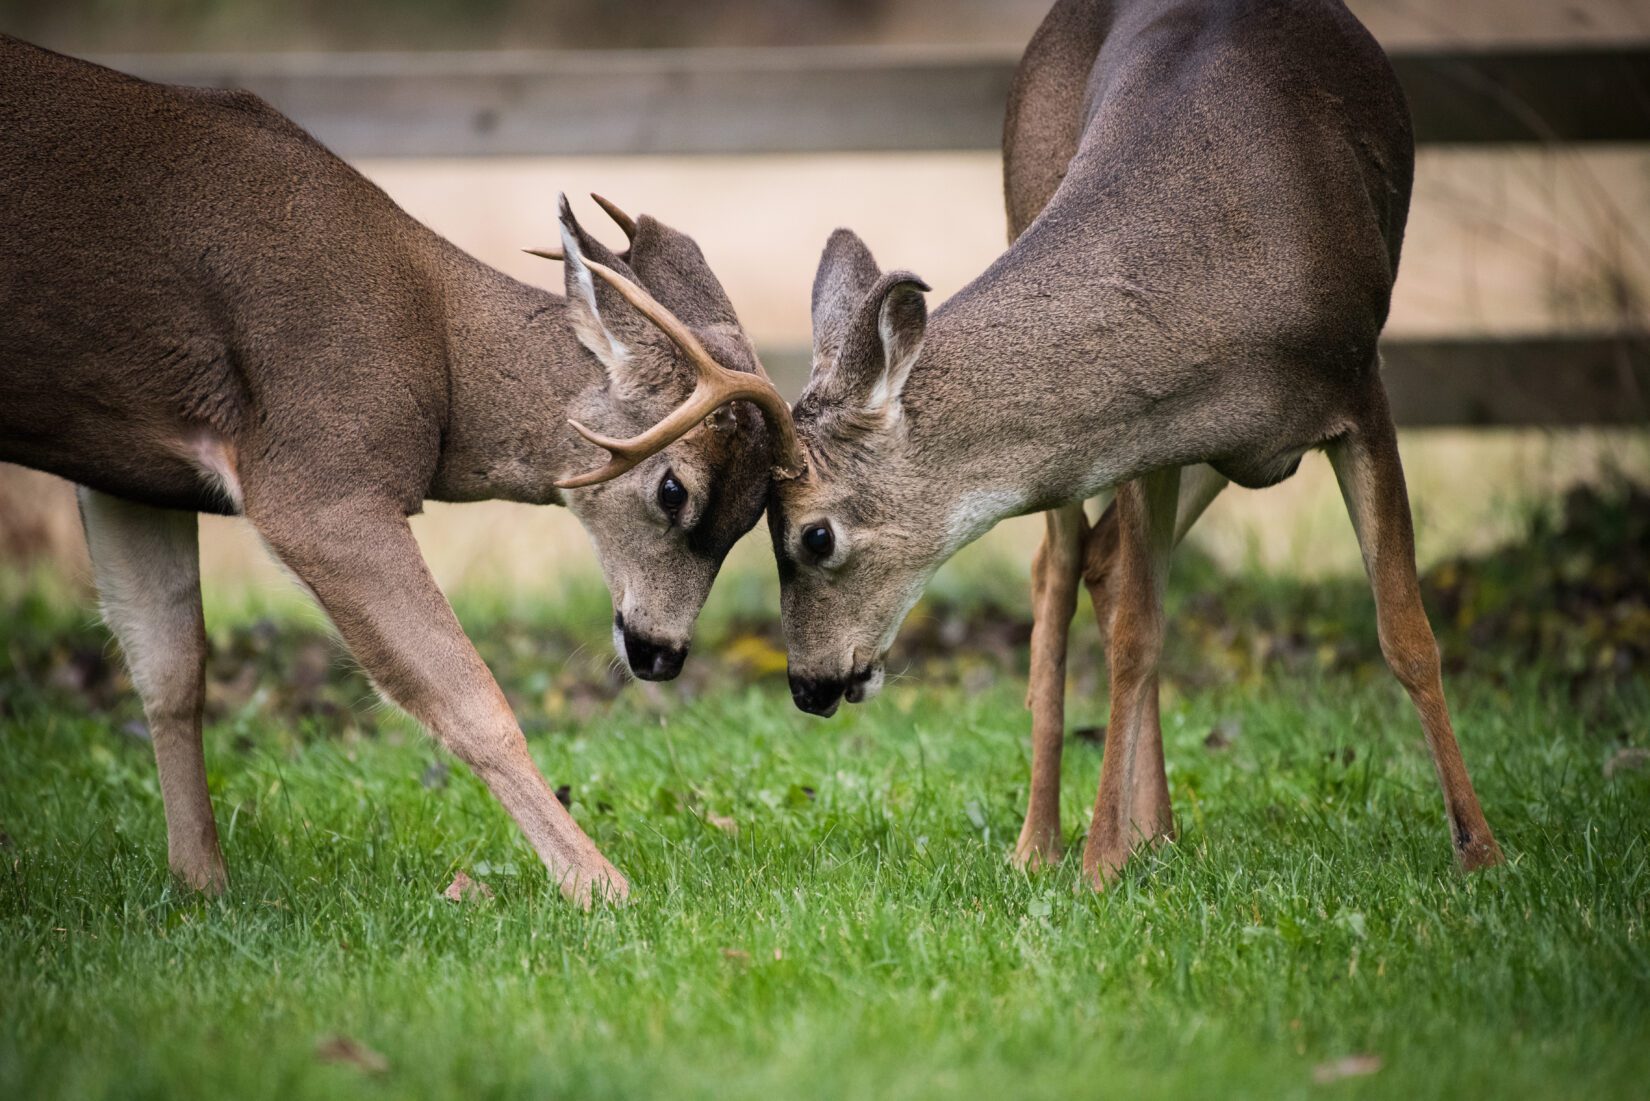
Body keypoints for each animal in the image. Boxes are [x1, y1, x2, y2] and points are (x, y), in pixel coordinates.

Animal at [0, 36, 798, 911]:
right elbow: (469, 699)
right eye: (673, 488)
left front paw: (201, 883)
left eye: (753, 518)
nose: (663, 653)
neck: (437, 352)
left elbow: (170, 668)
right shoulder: (321, 474)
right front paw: (601, 885)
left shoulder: (129, 469)